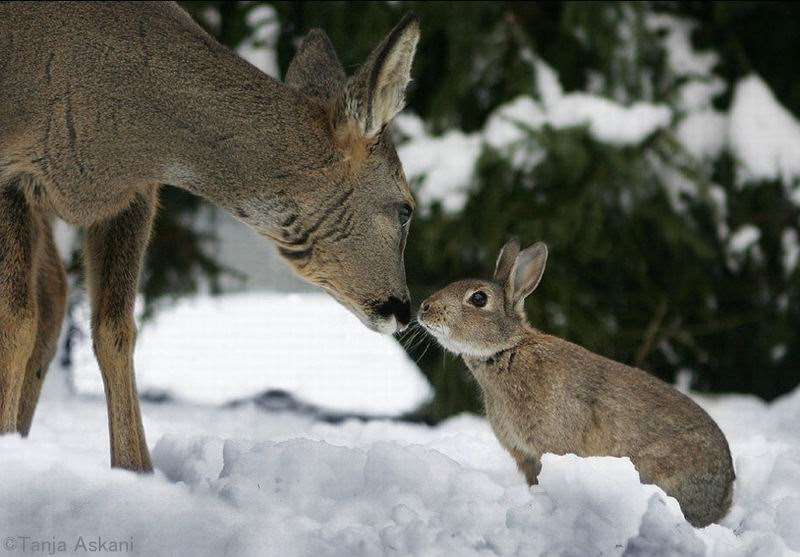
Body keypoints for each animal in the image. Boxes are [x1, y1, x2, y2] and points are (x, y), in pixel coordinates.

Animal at [0, 1, 422, 470]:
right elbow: (16, 321)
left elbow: (115, 330)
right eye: (406, 207)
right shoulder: (12, 172)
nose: (403, 309)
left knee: (54, 294)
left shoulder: (133, 196)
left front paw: (136, 470)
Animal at [418, 239, 736, 524]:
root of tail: (725, 496)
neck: (508, 350)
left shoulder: (551, 447)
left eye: (479, 299)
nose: (424, 308)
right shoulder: (525, 457)